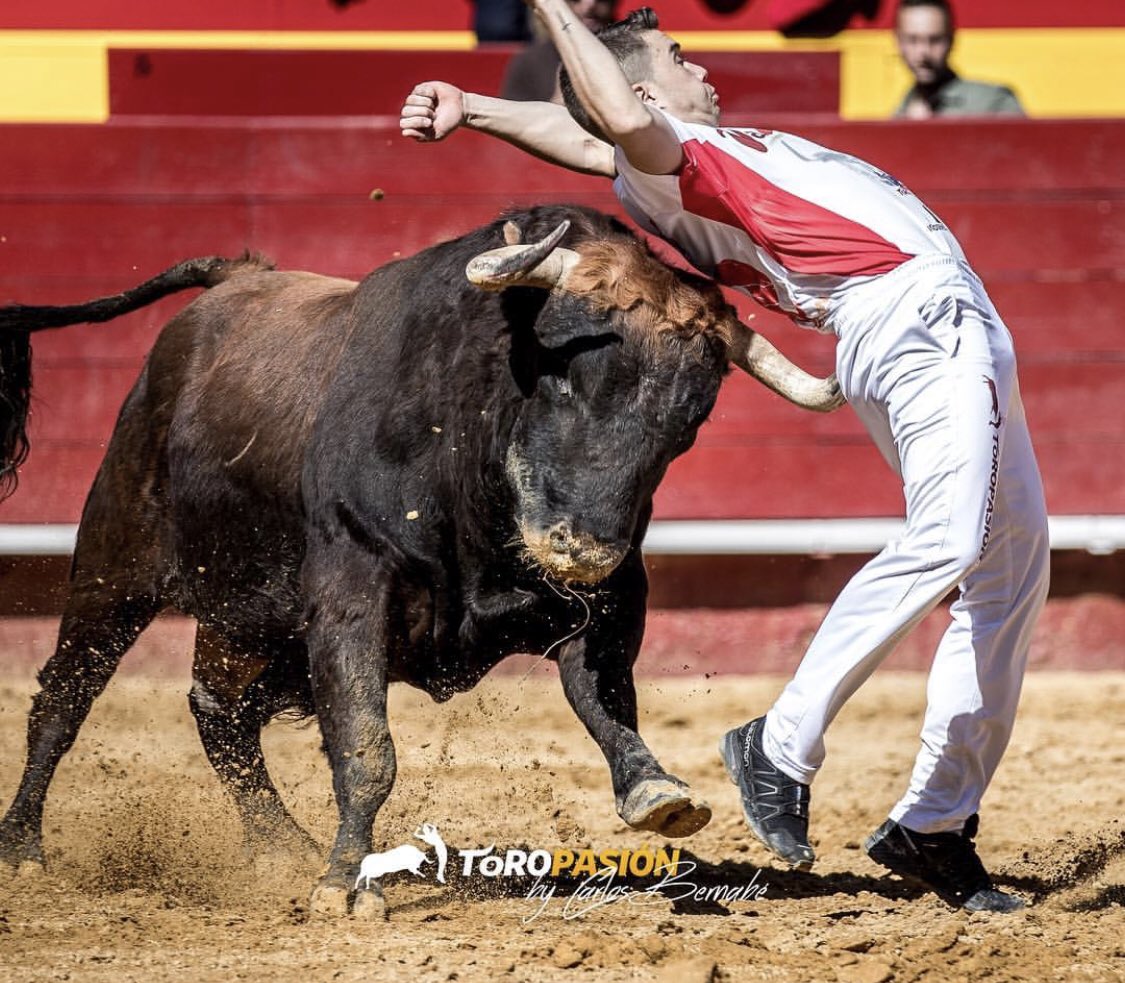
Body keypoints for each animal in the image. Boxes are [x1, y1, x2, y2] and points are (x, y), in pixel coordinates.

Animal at [0, 205, 842, 917]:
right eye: (564, 377)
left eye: (688, 421)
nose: (579, 546)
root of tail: (233, 280)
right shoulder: (349, 589)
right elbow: (365, 744)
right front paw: (345, 885)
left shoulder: (608, 597)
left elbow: (603, 699)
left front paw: (655, 790)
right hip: (116, 562)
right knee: (65, 697)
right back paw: (23, 849)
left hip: (248, 621)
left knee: (219, 710)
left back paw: (281, 845)